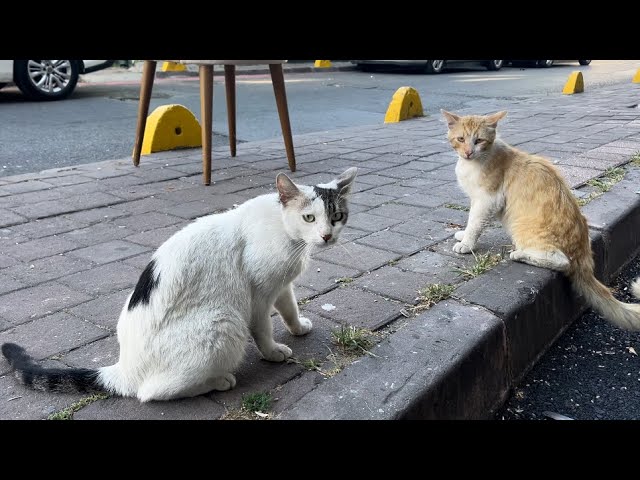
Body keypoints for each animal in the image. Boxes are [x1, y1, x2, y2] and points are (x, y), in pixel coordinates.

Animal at [2, 167, 358, 404]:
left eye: (337, 216)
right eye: (309, 218)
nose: (327, 236)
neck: (289, 238)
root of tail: (124, 368)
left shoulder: (280, 285)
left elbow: (289, 308)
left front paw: (298, 328)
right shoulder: (257, 295)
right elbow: (263, 329)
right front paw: (272, 352)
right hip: (225, 321)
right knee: (152, 393)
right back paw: (219, 381)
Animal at [440, 109, 640, 330]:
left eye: (479, 140)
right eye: (461, 139)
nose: (468, 152)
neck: (474, 162)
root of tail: (584, 257)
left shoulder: (487, 200)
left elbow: (474, 223)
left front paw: (466, 243)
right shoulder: (477, 200)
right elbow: (470, 222)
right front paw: (462, 235)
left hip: (522, 228)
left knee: (562, 262)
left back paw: (520, 254)